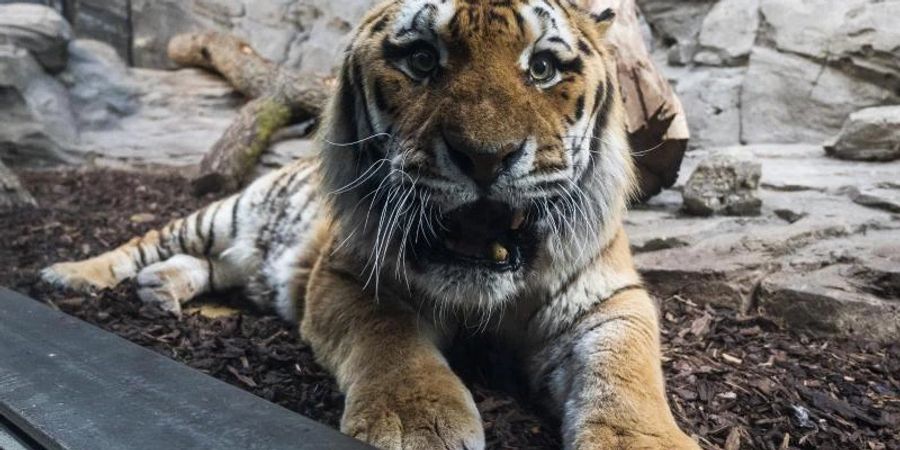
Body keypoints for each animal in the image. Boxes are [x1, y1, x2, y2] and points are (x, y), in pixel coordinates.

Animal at [40, 0, 696, 448]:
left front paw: (647, 442)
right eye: (422, 59)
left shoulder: (611, 298)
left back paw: (159, 292)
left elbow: (626, 375)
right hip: (218, 215)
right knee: (144, 242)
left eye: (542, 68)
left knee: (206, 267)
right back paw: (71, 274)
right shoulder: (347, 277)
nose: (485, 157)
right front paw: (417, 424)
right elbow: (391, 342)